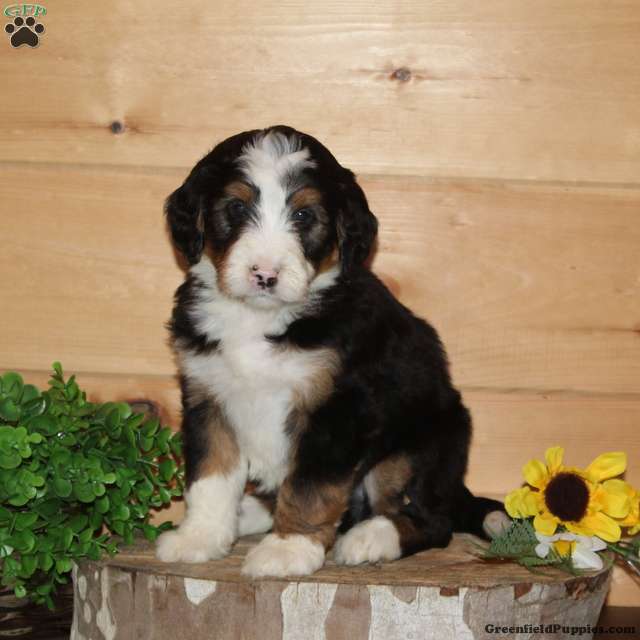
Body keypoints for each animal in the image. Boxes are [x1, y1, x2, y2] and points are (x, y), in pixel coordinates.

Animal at [155, 125, 508, 577]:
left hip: (416, 446)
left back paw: (369, 538)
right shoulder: (209, 396)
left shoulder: (338, 407)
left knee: (432, 519)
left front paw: (287, 549)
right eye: (235, 207)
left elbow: (311, 483)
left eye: (304, 216)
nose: (264, 274)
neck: (259, 317)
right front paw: (199, 537)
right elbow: (211, 474)